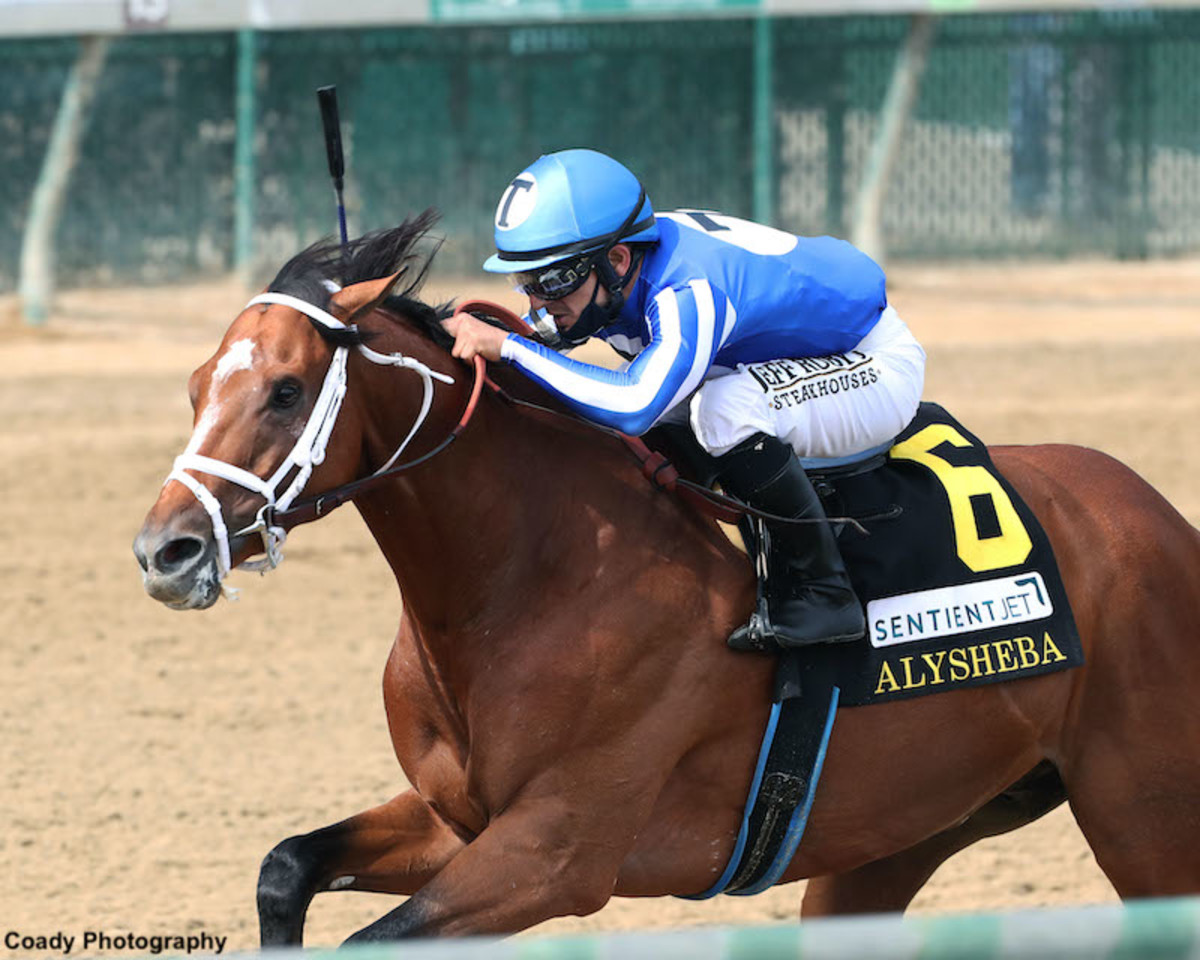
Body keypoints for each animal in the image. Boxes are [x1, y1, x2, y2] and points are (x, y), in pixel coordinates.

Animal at [136, 219, 1200, 945]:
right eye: (194, 387)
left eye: (285, 391)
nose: (164, 551)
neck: (526, 580)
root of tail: (1162, 518)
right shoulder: (457, 820)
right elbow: (285, 867)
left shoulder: (557, 853)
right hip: (900, 830)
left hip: (1143, 819)